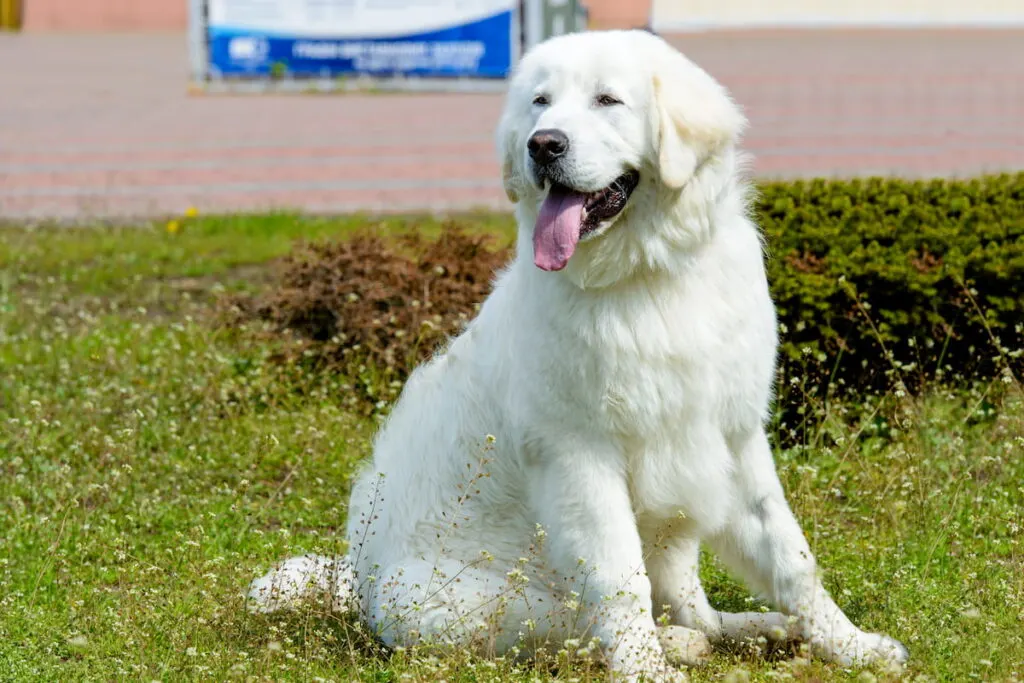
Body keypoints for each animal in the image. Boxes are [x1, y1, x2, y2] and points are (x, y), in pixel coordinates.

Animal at [247, 29, 905, 679]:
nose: (543, 145)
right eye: (541, 102)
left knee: (690, 605)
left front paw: (852, 646)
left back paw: (760, 629)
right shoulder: (581, 460)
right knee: (582, 627)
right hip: (496, 602)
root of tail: (357, 583)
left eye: (607, 100)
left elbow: (791, 557)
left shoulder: (733, 439)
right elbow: (619, 582)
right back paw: (683, 645)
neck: (646, 275)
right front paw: (645, 670)